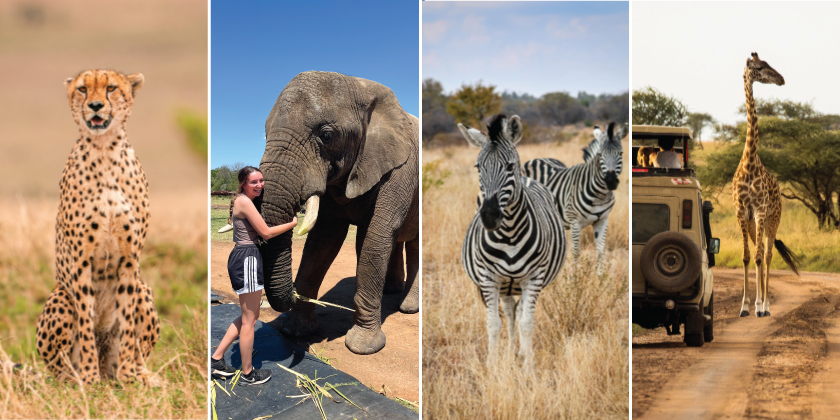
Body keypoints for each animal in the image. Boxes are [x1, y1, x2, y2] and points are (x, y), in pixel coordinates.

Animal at [35, 70, 159, 386]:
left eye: (111, 88)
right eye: (83, 89)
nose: (94, 106)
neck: (104, 152)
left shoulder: (129, 258)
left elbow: (127, 325)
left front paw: (128, 377)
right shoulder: (81, 260)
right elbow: (86, 325)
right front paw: (89, 381)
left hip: (144, 289)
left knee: (136, 350)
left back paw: (139, 375)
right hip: (60, 298)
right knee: (62, 367)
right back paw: (78, 379)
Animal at [253, 71, 416, 354]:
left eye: (326, 135)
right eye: (265, 132)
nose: (263, 302)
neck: (362, 87)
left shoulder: (399, 170)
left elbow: (375, 239)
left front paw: (363, 347)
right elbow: (322, 240)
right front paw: (296, 331)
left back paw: (408, 307)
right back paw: (390, 292)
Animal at [456, 115, 568, 368]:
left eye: (509, 166)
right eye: (478, 167)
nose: (489, 216)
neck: (509, 234)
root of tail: (526, 177)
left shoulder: (534, 277)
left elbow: (526, 324)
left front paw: (529, 369)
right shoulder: (488, 278)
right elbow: (493, 324)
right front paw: (493, 367)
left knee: (519, 313)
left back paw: (522, 353)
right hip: (505, 284)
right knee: (508, 313)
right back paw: (511, 351)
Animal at [520, 120, 628, 276]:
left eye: (621, 153)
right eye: (600, 154)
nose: (611, 181)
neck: (600, 195)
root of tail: (534, 159)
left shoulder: (603, 219)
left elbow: (601, 251)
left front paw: (600, 278)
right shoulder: (575, 221)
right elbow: (576, 252)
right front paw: (576, 279)